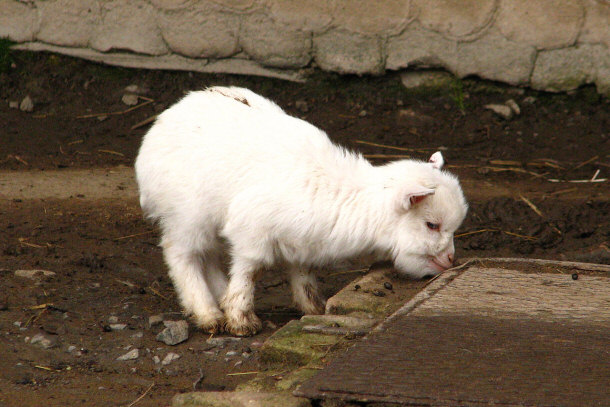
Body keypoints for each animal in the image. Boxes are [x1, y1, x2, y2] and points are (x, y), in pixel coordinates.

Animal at [137, 87, 466, 338]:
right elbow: (250, 271)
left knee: (211, 257)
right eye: (432, 225)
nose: (450, 260)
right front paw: (241, 320)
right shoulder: (252, 232)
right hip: (187, 215)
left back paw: (217, 297)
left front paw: (314, 309)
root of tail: (161, 124)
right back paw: (208, 313)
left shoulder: (302, 242)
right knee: (182, 254)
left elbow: (303, 275)